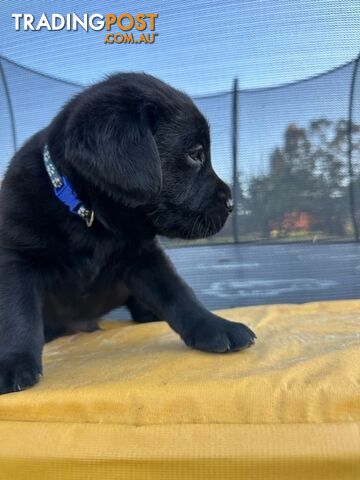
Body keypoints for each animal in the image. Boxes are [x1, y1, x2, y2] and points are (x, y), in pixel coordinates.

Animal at [0, 72, 256, 394]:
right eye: (195, 154)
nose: (232, 204)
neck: (88, 216)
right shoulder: (16, 258)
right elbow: (18, 314)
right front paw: (14, 361)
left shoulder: (144, 255)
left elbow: (178, 293)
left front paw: (215, 326)